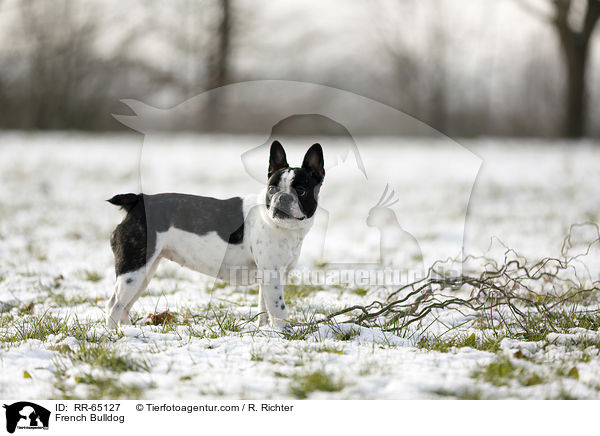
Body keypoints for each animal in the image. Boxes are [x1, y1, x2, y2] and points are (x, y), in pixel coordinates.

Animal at [105, 141, 326, 332]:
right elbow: (278, 309)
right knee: (114, 305)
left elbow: (265, 306)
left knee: (124, 305)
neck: (285, 227)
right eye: (272, 189)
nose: (281, 197)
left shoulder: (270, 276)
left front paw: (264, 329)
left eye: (301, 190)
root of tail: (137, 202)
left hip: (144, 272)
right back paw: (113, 334)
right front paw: (285, 332)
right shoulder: (272, 275)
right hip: (134, 270)